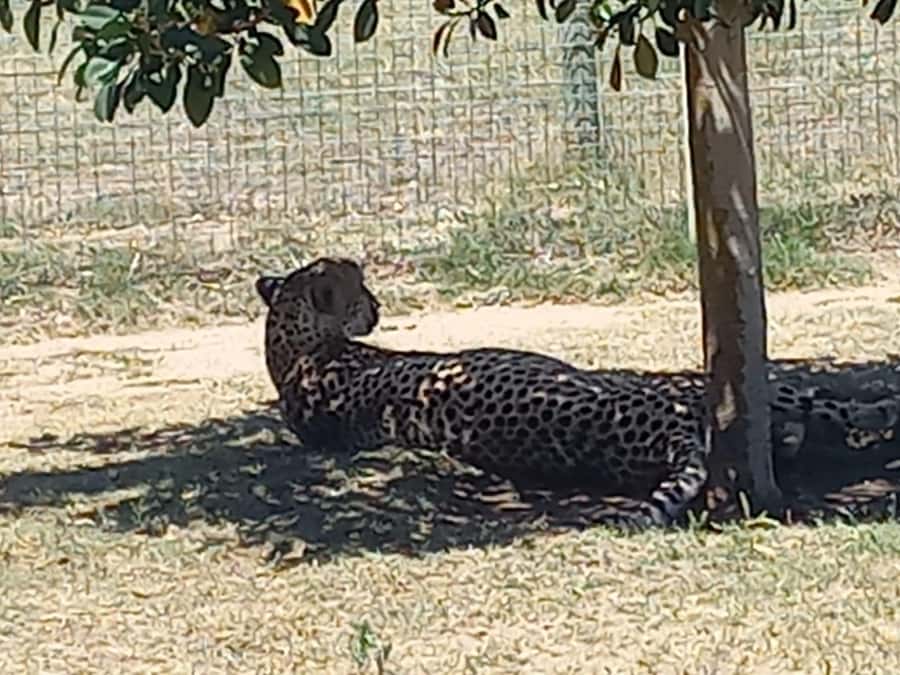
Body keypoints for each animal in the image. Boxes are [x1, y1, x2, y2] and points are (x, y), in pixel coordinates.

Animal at [256, 257, 899, 527]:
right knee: (816, 402)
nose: (379, 306)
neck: (293, 350)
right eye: (359, 289)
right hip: (688, 383)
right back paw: (879, 407)